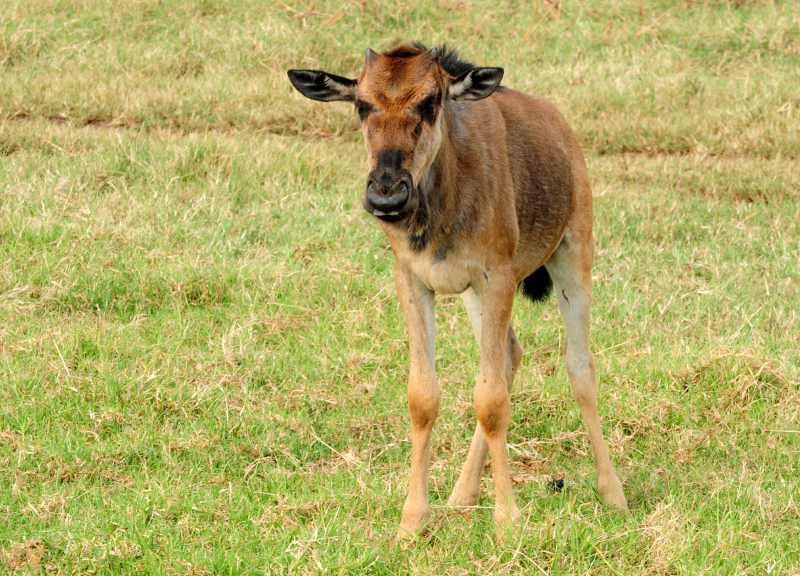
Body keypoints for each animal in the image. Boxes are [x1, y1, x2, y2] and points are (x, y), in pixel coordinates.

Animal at [287, 43, 628, 539]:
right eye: (362, 105)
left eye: (431, 102)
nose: (387, 195)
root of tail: (559, 125)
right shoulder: (414, 281)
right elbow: (424, 396)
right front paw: (413, 520)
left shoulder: (498, 278)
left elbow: (491, 400)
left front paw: (508, 521)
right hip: (473, 296)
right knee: (509, 355)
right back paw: (463, 494)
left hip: (573, 255)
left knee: (580, 368)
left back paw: (613, 493)